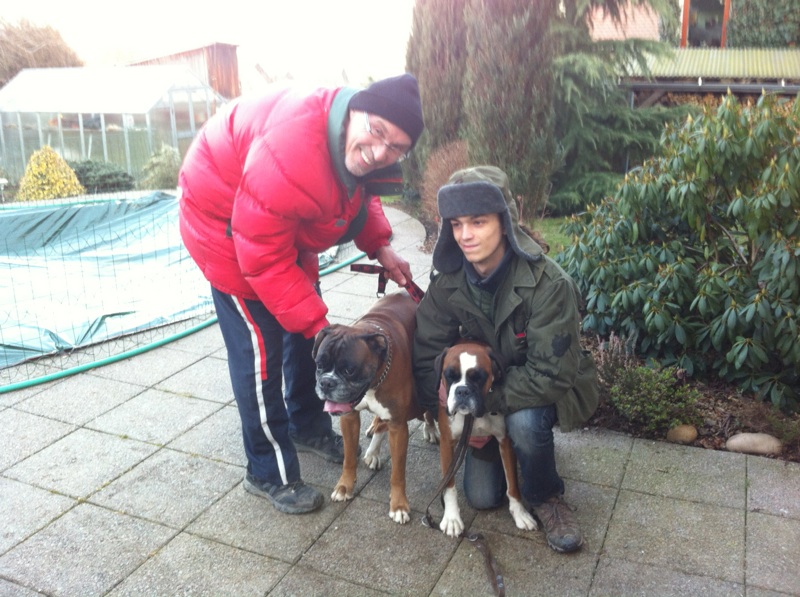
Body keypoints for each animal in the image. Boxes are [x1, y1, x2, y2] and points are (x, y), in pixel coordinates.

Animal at [313, 290, 438, 523]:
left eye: (349, 370)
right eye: (319, 365)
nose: (326, 383)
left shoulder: (398, 426)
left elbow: (397, 473)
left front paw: (399, 505)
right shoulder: (349, 418)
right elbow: (348, 458)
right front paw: (344, 487)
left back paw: (430, 428)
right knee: (379, 422)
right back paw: (373, 445)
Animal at [434, 340, 538, 537]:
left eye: (479, 377)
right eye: (449, 375)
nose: (462, 391)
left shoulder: (505, 441)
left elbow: (512, 484)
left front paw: (520, 513)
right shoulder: (447, 444)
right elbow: (449, 485)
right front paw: (451, 518)